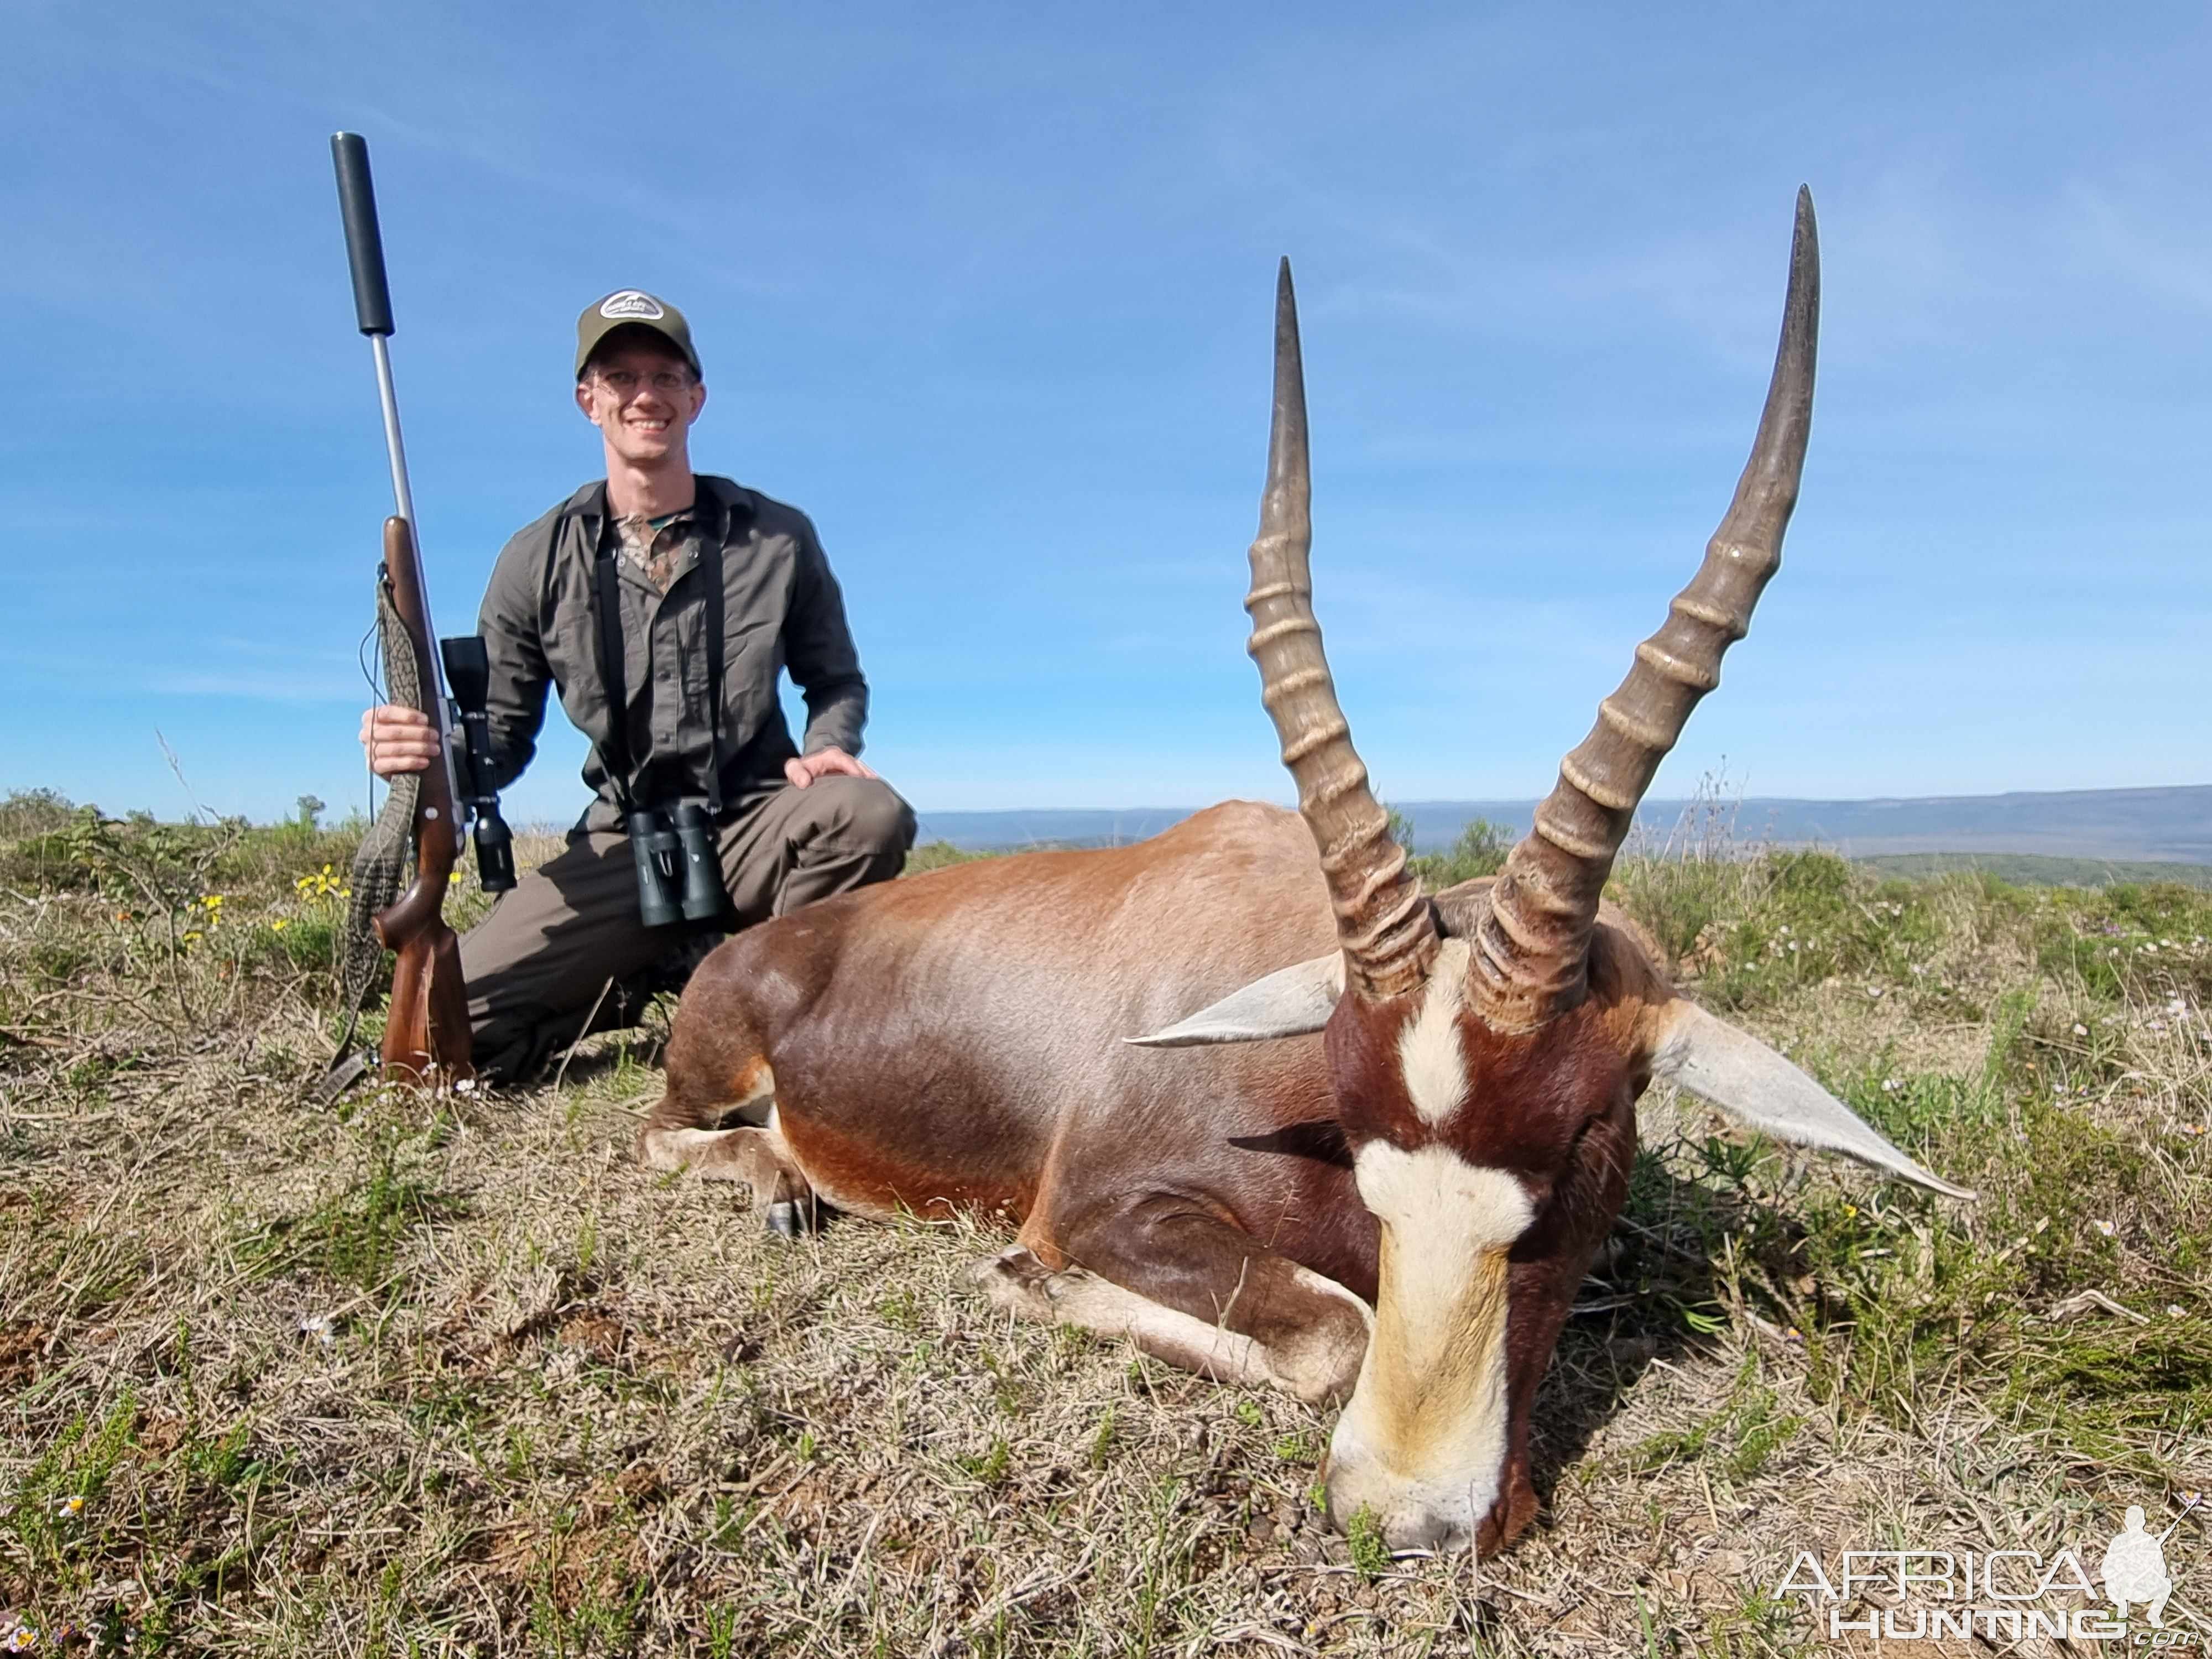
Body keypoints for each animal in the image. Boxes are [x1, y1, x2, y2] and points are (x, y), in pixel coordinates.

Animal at [646, 195, 1973, 1557]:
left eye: (1588, 1135)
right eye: (1361, 1140)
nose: (1405, 1516)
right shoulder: (1105, 1204)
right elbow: (1337, 1331)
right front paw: (1023, 1275)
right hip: (709, 1083)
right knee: (664, 1136)